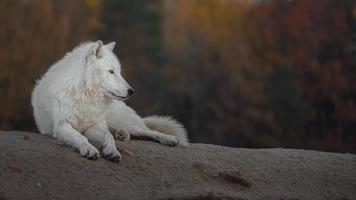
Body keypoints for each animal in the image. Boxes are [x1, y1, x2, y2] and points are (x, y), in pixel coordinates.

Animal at [31, 40, 188, 162]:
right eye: (111, 71)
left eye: (119, 72)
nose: (131, 91)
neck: (85, 96)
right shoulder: (61, 126)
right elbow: (80, 137)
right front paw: (89, 149)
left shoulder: (92, 125)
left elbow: (108, 136)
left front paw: (112, 151)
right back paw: (122, 135)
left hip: (120, 121)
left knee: (145, 131)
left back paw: (167, 138)